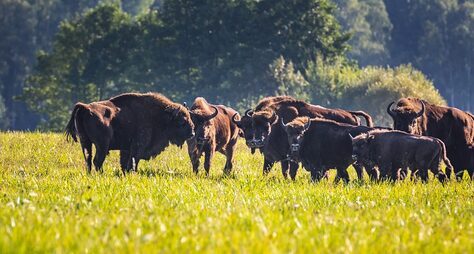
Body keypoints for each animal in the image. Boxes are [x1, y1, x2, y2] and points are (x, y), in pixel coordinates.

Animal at [65, 92, 194, 174]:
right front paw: (133, 172)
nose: (192, 133)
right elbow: (133, 161)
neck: (160, 115)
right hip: (102, 145)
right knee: (97, 161)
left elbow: (125, 163)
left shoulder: (126, 149)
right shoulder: (137, 146)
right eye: (182, 121)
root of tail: (85, 107)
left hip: (85, 141)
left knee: (88, 159)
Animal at [233, 95, 374, 181]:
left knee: (357, 168)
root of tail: (352, 115)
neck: (276, 122)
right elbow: (267, 170)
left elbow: (289, 171)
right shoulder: (270, 157)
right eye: (250, 125)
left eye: (267, 127)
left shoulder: (289, 157)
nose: (254, 142)